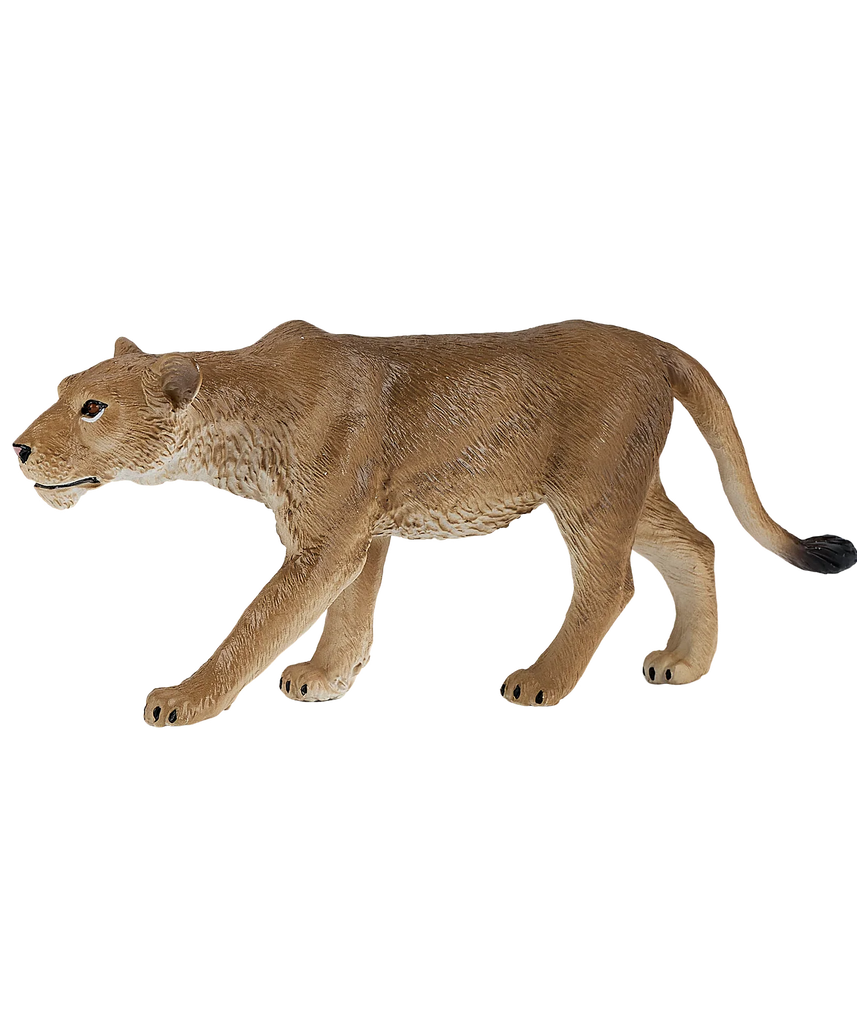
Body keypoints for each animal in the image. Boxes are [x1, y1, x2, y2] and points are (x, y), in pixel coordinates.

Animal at [9, 317, 856, 725]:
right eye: (57, 392)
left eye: (93, 408)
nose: (16, 447)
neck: (237, 426)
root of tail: (655, 344)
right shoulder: (359, 534)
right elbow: (348, 617)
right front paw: (325, 680)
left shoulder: (326, 541)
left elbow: (257, 623)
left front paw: (185, 700)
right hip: (625, 490)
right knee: (696, 545)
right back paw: (683, 662)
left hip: (589, 493)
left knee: (609, 585)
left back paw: (543, 681)